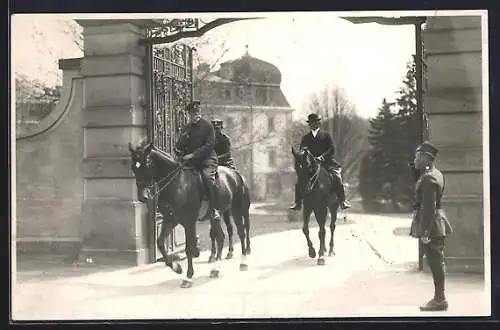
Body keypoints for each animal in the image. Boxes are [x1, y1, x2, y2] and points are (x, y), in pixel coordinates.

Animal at [129, 143, 252, 288]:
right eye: (133, 167)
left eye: (147, 165)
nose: (143, 197)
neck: (178, 184)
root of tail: (235, 174)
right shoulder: (170, 220)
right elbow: (160, 243)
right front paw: (176, 267)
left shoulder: (189, 222)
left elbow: (189, 248)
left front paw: (188, 277)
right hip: (215, 217)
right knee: (221, 237)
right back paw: (215, 269)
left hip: (237, 210)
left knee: (241, 232)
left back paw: (243, 261)